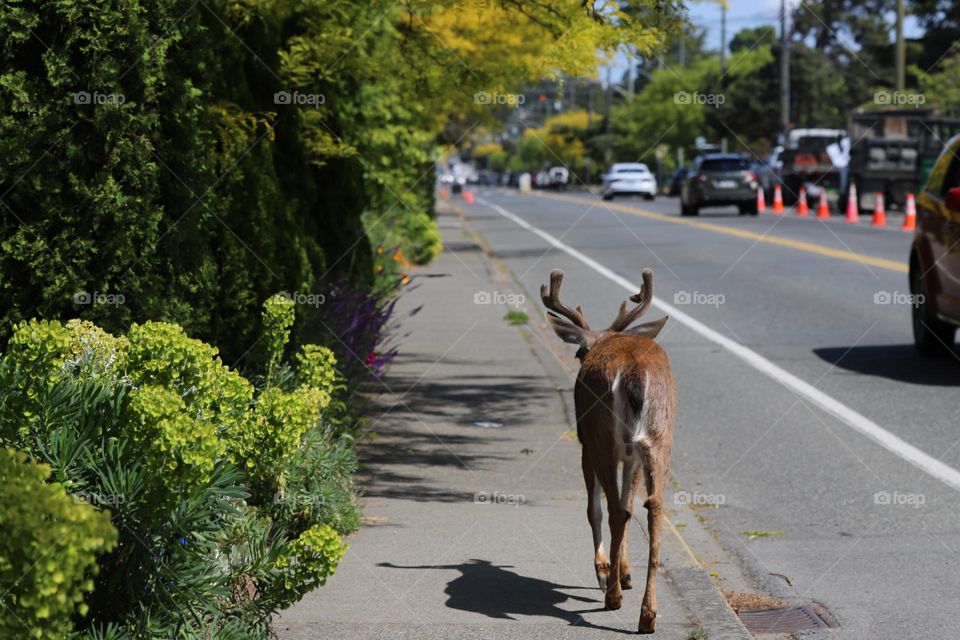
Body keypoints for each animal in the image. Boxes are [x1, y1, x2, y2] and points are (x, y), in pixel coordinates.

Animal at [540, 268, 676, 632]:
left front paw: (604, 570)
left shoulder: (586, 444)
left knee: (614, 510)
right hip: (659, 438)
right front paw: (625, 572)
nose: (581, 357)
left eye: (578, 352)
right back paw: (647, 614)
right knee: (653, 506)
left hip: (601, 436)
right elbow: (629, 505)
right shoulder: (630, 457)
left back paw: (612, 596)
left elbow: (596, 509)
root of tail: (634, 373)